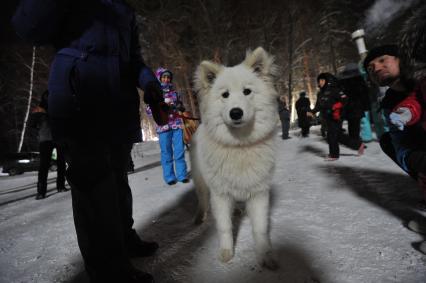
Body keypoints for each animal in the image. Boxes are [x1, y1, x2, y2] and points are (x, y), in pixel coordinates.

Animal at [191, 47, 278, 270]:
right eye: (225, 95)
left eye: (247, 91)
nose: (236, 112)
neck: (240, 145)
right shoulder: (220, 194)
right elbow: (224, 227)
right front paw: (226, 253)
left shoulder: (258, 193)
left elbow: (260, 228)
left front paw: (265, 255)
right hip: (200, 181)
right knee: (202, 199)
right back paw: (200, 215)